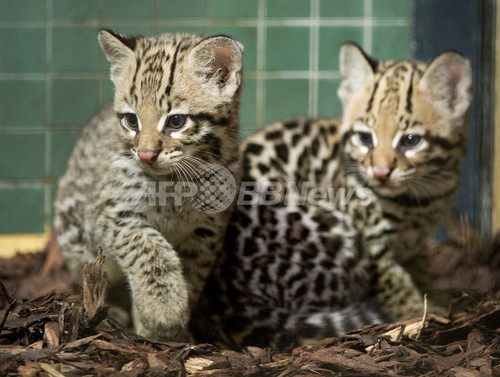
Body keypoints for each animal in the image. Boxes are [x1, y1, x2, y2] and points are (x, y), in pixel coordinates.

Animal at [54, 29, 242, 340]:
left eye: (177, 121)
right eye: (132, 120)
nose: (145, 154)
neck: (176, 179)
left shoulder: (207, 231)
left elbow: (191, 273)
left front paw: (172, 329)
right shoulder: (112, 211)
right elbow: (149, 250)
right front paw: (162, 312)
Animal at [189, 42, 470, 348]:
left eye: (411, 141)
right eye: (364, 138)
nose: (381, 173)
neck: (423, 194)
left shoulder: (416, 242)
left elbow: (420, 269)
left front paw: (432, 296)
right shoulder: (372, 244)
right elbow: (396, 284)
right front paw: (418, 312)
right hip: (336, 235)